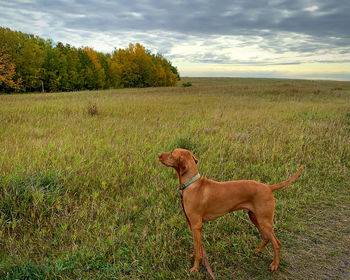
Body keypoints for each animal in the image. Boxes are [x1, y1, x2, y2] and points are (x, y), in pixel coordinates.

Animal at [159, 149, 304, 274]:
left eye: (172, 153)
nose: (159, 154)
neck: (191, 183)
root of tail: (268, 187)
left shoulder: (196, 225)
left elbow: (198, 249)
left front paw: (195, 268)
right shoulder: (192, 225)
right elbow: (197, 246)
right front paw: (193, 256)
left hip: (264, 220)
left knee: (277, 243)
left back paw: (274, 265)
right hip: (255, 218)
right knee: (266, 237)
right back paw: (258, 251)